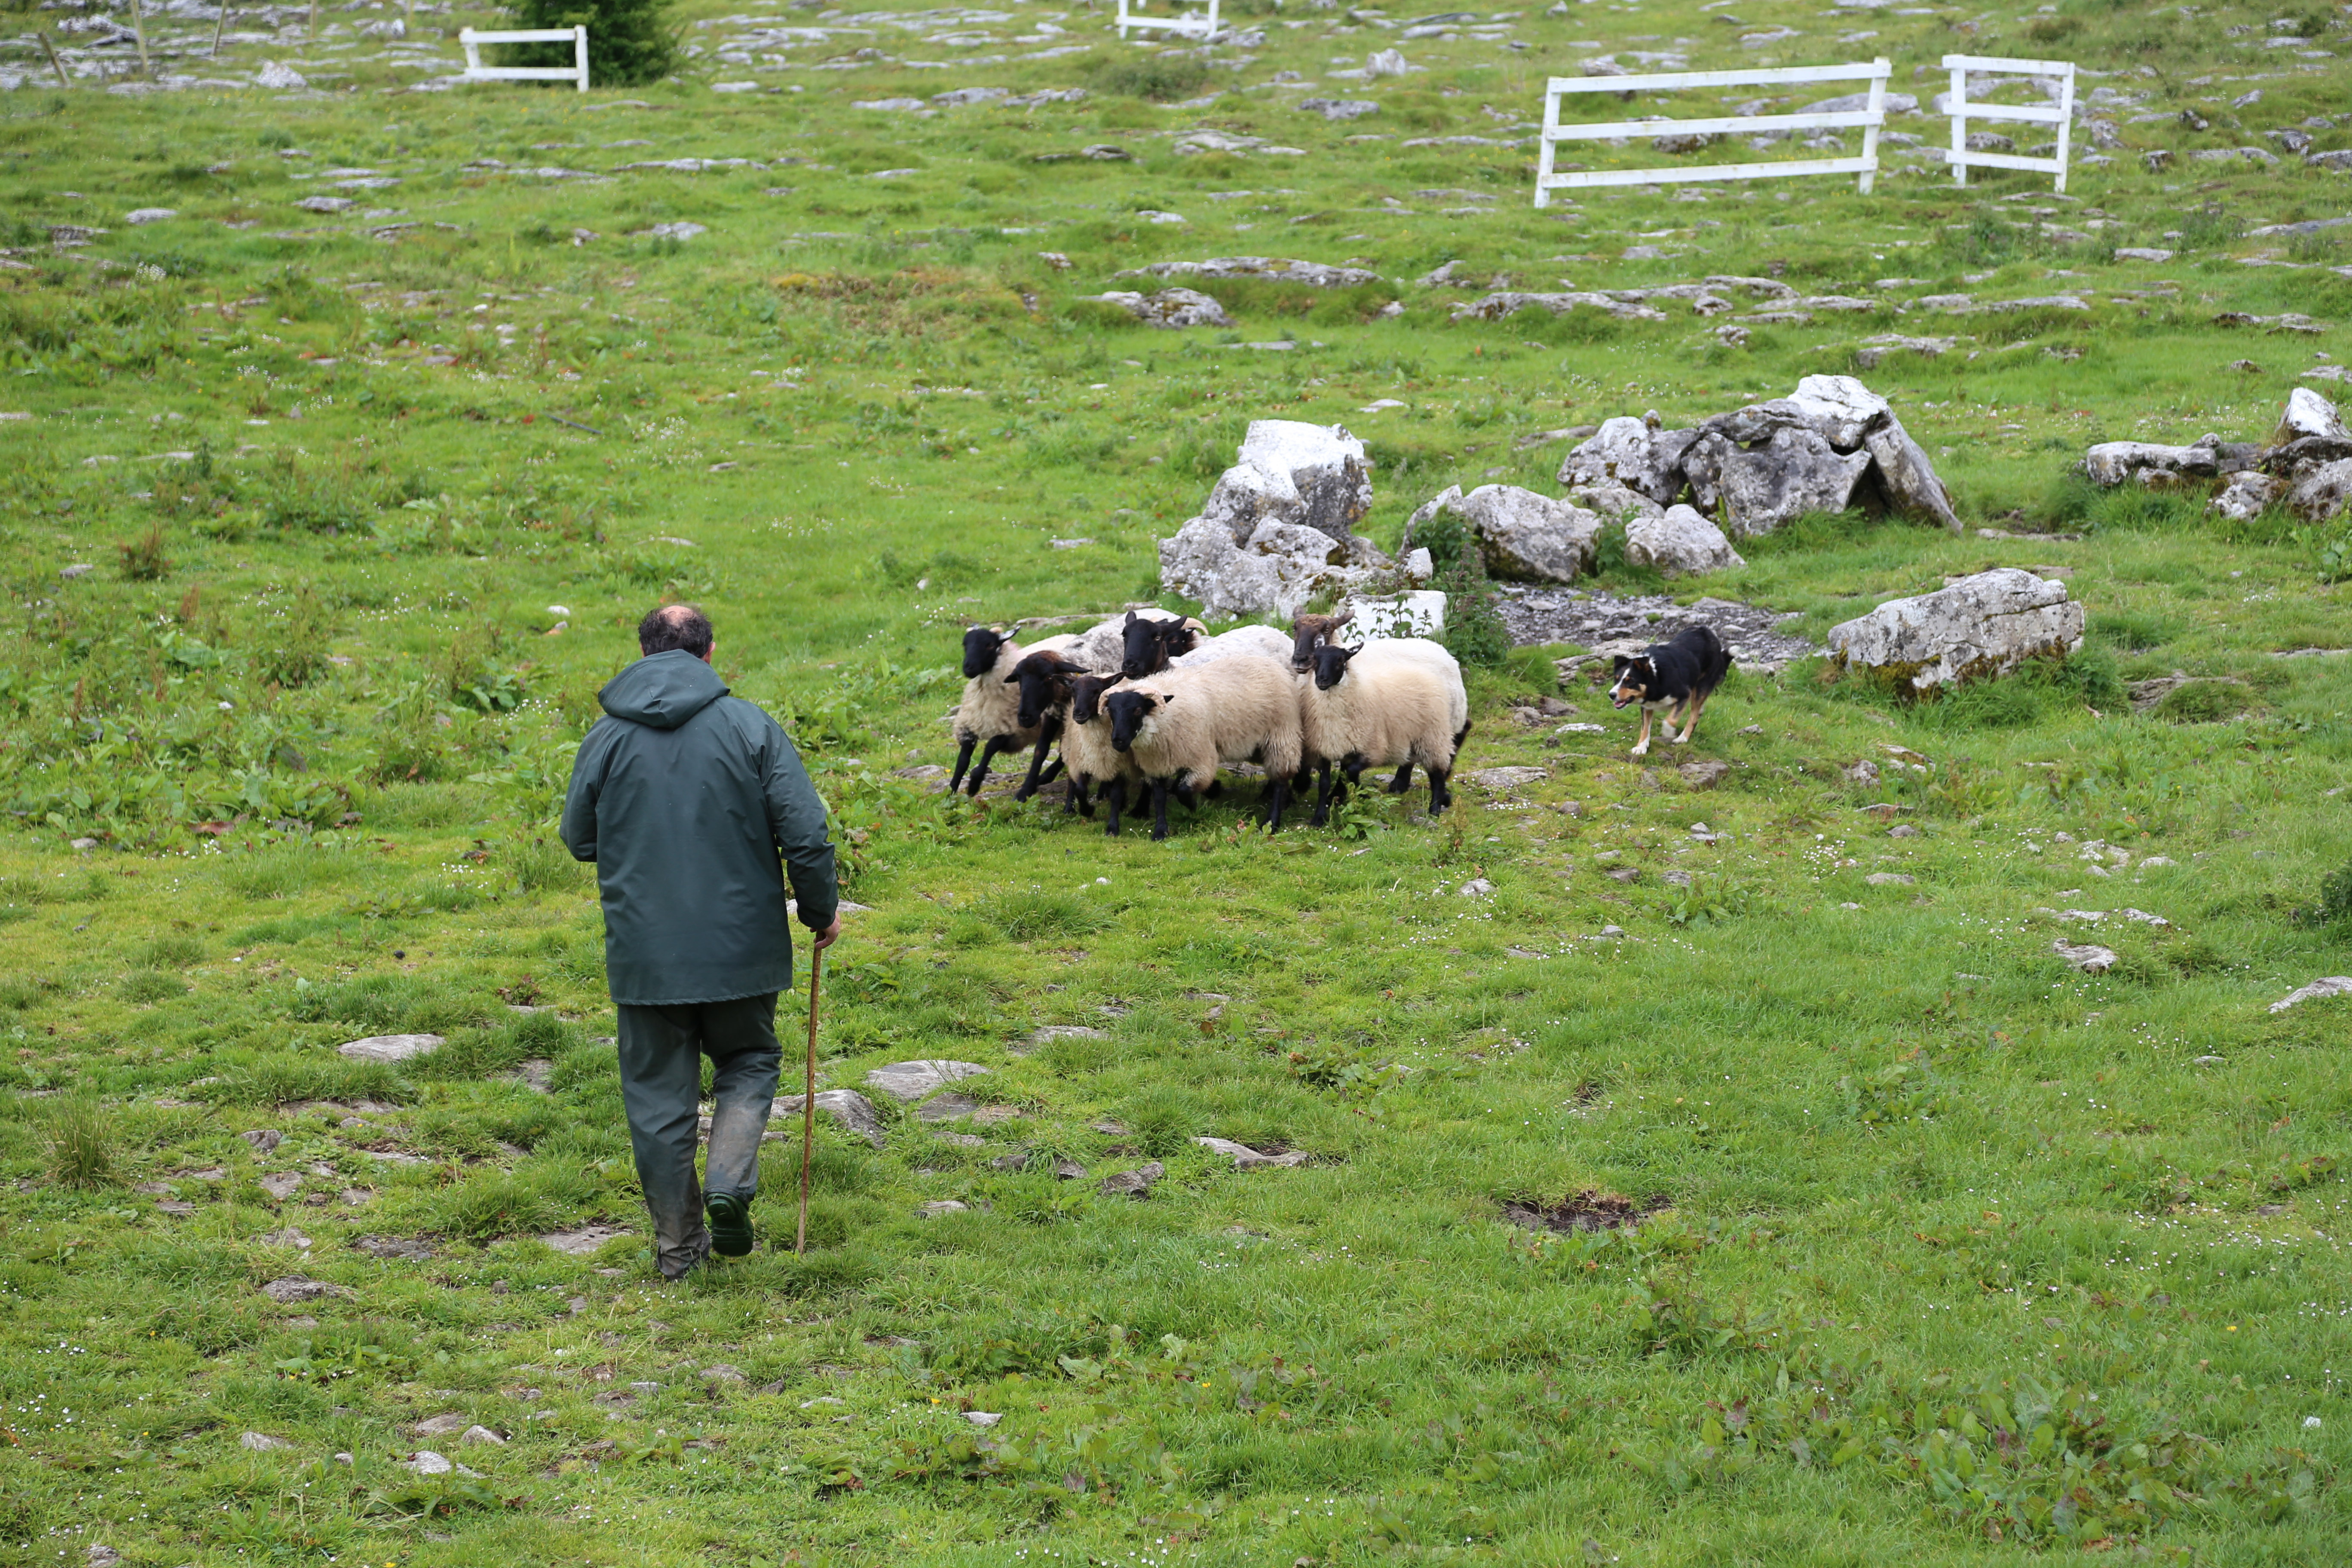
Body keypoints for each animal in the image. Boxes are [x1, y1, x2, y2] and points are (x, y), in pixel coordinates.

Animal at [1289, 639, 1467, 823]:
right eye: (1316, 660)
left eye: (1341, 660)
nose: (1322, 680)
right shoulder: (1326, 747)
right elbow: (1327, 783)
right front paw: (1321, 816)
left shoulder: (1372, 749)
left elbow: (1350, 773)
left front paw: (1361, 795)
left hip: (1432, 736)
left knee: (1437, 773)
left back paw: (1435, 809)